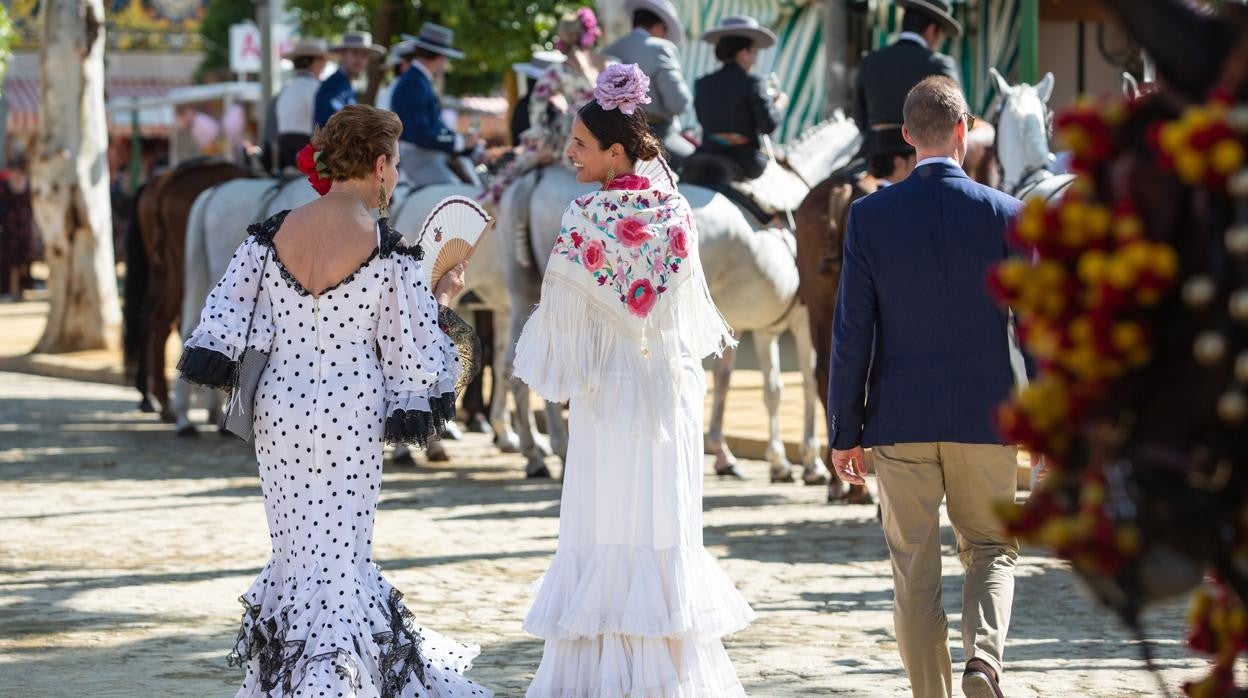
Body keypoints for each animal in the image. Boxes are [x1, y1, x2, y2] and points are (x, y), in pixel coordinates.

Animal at [494, 117, 858, 484]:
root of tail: (539, 172)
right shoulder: (800, 319)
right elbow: (803, 382)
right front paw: (807, 462)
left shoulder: (755, 324)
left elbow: (746, 383)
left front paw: (743, 456)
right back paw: (556, 448)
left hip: (523, 292)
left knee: (515, 364)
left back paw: (534, 452)